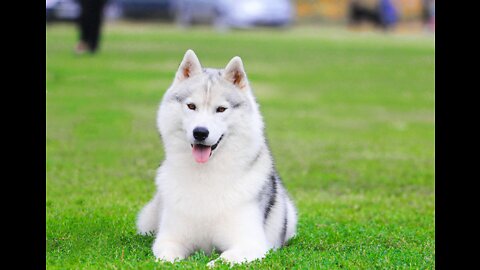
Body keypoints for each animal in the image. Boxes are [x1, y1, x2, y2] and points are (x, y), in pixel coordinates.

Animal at [135, 49, 298, 264]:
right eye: (191, 106)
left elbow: (222, 260)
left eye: (221, 109)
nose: (200, 132)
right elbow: (167, 257)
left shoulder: (250, 243)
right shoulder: (169, 239)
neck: (206, 174)